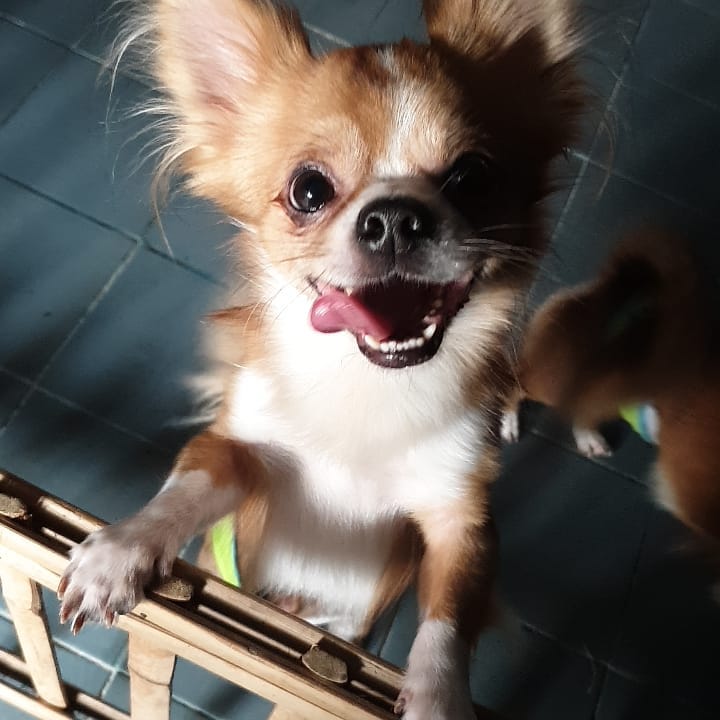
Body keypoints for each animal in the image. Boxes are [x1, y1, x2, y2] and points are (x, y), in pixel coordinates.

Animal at [56, 2, 584, 716]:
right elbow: (185, 490)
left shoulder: (463, 521)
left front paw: (438, 697)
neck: (364, 383)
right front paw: (119, 553)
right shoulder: (235, 448)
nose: (395, 218)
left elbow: (448, 620)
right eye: (308, 190)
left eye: (472, 178)